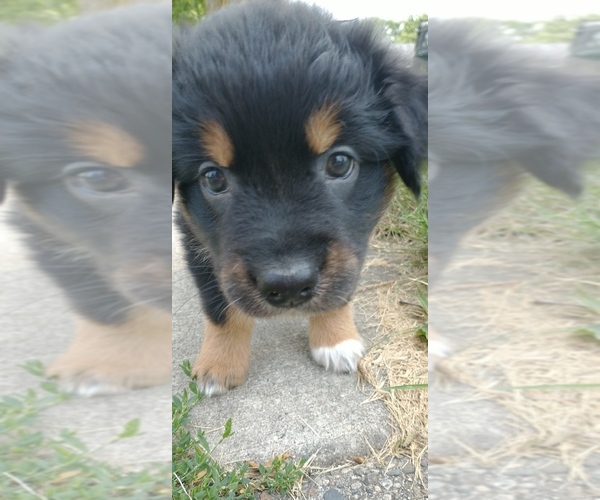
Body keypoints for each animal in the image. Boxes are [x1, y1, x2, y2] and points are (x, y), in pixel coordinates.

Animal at [171, 1, 428, 396]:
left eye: (340, 162)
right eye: (212, 177)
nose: (289, 285)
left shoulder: (353, 245)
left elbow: (342, 285)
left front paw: (334, 339)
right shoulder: (194, 236)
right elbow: (220, 304)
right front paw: (219, 365)